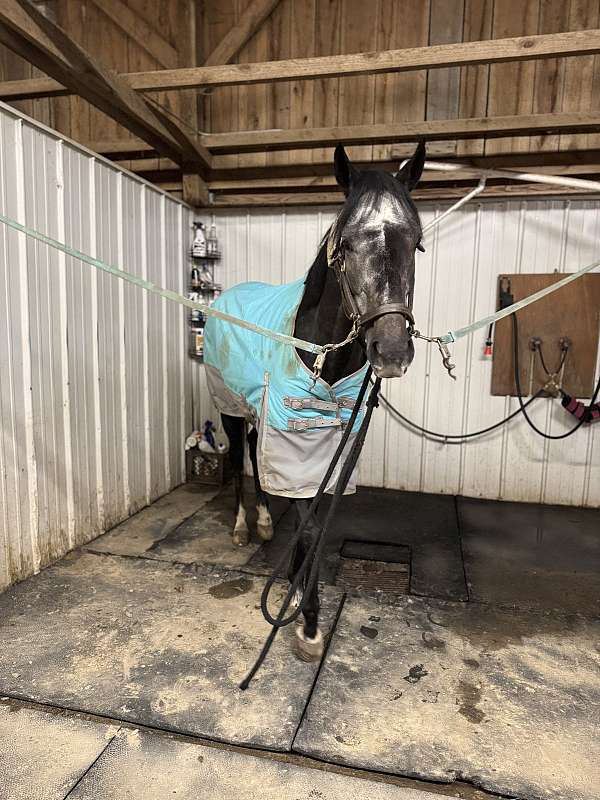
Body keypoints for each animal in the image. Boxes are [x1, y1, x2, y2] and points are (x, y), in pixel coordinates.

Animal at [203, 142, 425, 661]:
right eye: (345, 244)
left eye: (417, 242)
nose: (391, 352)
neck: (320, 353)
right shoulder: (294, 444)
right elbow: (305, 525)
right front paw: (306, 622)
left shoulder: (329, 451)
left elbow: (317, 526)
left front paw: (297, 592)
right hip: (230, 409)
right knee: (238, 461)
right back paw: (243, 526)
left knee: (255, 458)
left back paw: (265, 522)